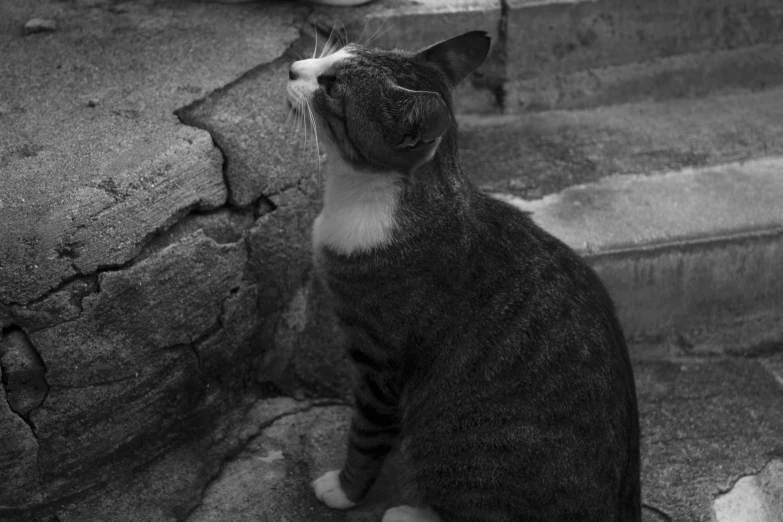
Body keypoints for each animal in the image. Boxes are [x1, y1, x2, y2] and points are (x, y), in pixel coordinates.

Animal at [284, 30, 640, 520]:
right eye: (337, 53)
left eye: (332, 87)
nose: (291, 68)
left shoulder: (380, 359)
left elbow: (367, 438)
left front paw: (345, 490)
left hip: (460, 445)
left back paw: (408, 512)